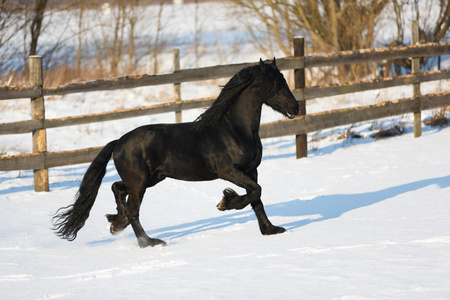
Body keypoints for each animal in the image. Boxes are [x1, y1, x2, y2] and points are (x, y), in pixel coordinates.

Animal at [53, 58, 298, 248]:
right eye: (274, 84)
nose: (295, 108)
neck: (234, 129)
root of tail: (118, 142)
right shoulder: (229, 171)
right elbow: (255, 192)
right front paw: (225, 203)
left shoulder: (251, 170)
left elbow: (257, 198)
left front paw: (270, 230)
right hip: (140, 183)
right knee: (133, 210)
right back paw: (149, 242)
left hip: (148, 179)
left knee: (117, 188)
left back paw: (116, 223)